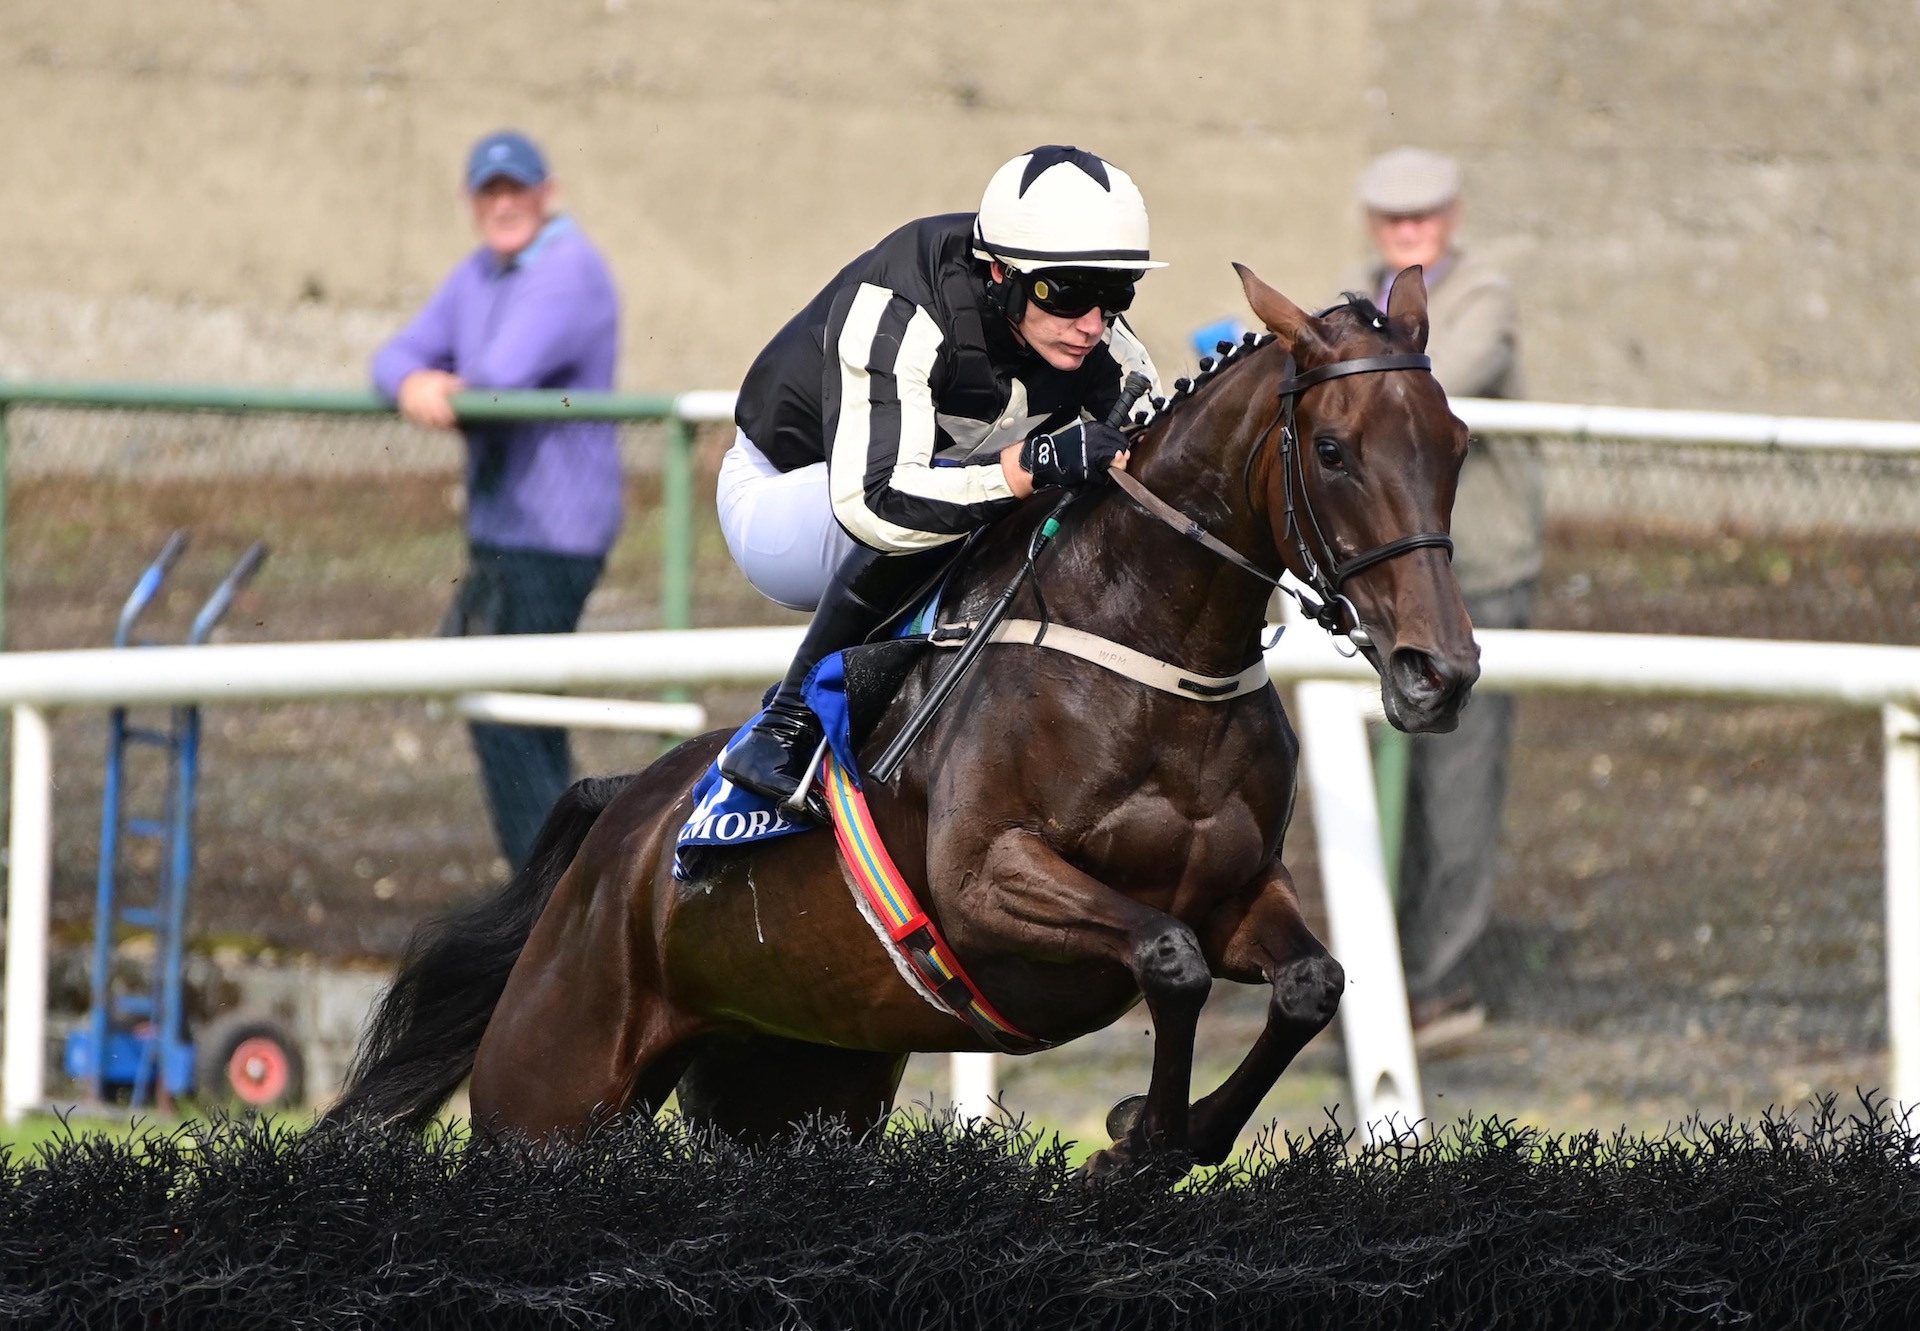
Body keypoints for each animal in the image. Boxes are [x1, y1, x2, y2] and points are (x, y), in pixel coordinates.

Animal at [330, 263, 1474, 1175]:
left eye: (1457, 444)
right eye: (1333, 449)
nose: (1441, 671)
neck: (1148, 654)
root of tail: (619, 821)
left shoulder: (1235, 888)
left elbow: (1311, 982)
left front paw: (1166, 1131)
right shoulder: (986, 885)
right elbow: (1169, 958)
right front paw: (1141, 1134)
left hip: (797, 1082)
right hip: (548, 1093)